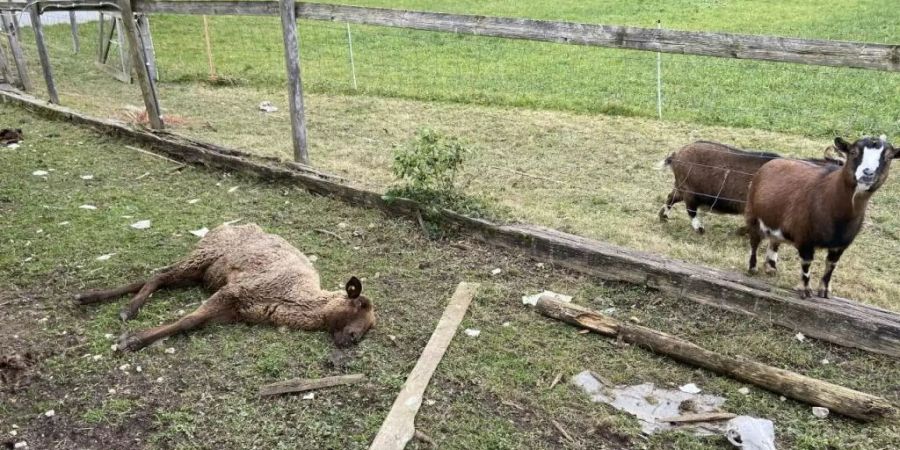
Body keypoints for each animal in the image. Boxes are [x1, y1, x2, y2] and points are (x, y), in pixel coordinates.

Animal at [73, 224, 376, 352]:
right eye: (359, 304)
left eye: (371, 326)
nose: (353, 339)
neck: (294, 296)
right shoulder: (235, 291)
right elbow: (188, 320)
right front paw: (133, 340)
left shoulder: (234, 310)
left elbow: (193, 322)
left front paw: (134, 338)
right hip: (202, 257)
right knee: (160, 275)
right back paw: (128, 309)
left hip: (202, 272)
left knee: (157, 277)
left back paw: (93, 298)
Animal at [740, 137, 896, 298]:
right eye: (853, 152)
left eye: (889, 157)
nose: (868, 173)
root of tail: (770, 164)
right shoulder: (805, 238)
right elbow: (806, 264)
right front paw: (805, 290)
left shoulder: (840, 245)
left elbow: (831, 266)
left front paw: (824, 291)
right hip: (752, 215)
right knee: (754, 241)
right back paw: (752, 268)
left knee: (774, 240)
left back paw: (771, 268)